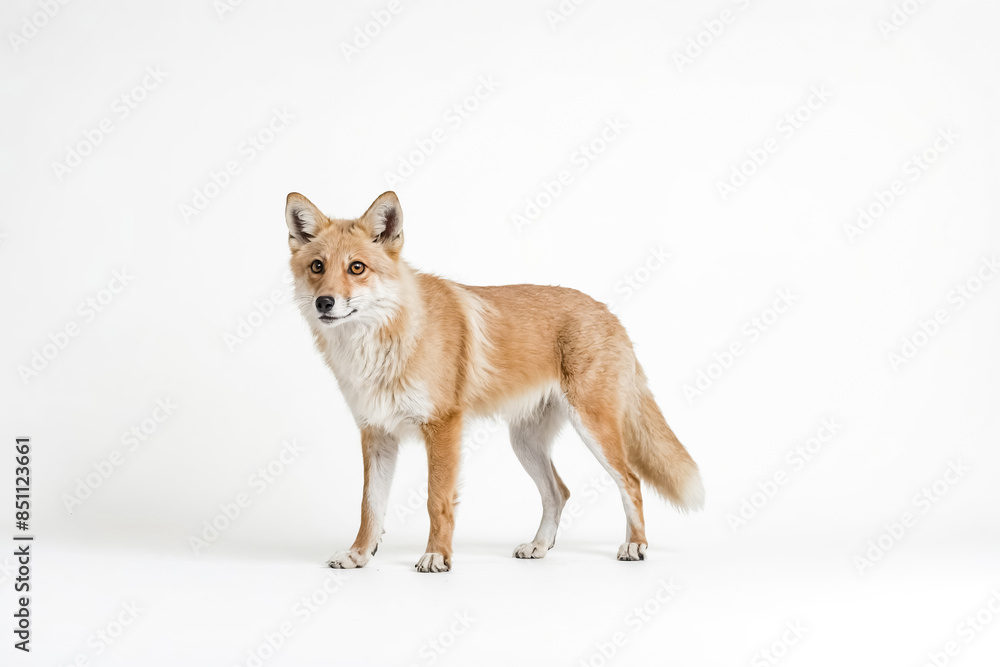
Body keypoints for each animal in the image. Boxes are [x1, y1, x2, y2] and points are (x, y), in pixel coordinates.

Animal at [284, 190, 703, 573]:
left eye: (356, 268)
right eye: (318, 266)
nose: (324, 303)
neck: (384, 346)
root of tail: (609, 313)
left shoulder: (443, 426)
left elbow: (436, 501)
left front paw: (437, 556)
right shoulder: (376, 433)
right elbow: (369, 506)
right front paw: (359, 554)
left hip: (594, 429)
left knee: (631, 481)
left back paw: (635, 545)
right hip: (525, 442)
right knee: (559, 492)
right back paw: (540, 546)